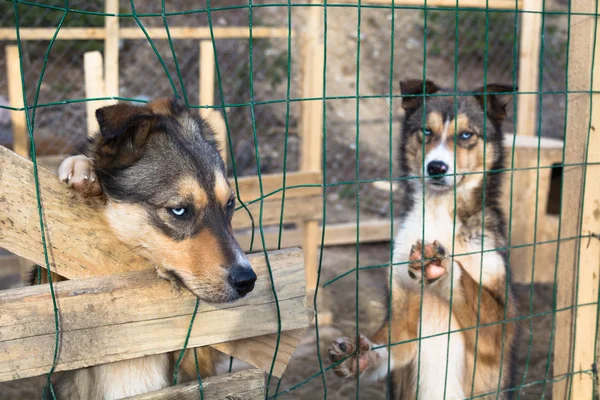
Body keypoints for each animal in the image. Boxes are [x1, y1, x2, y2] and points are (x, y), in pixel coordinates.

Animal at [326, 79, 516, 398]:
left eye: (466, 135)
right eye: (426, 131)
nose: (436, 167)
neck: (439, 213)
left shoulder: (500, 331)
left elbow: (469, 285)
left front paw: (441, 268)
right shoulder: (403, 317)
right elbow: (388, 345)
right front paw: (361, 357)